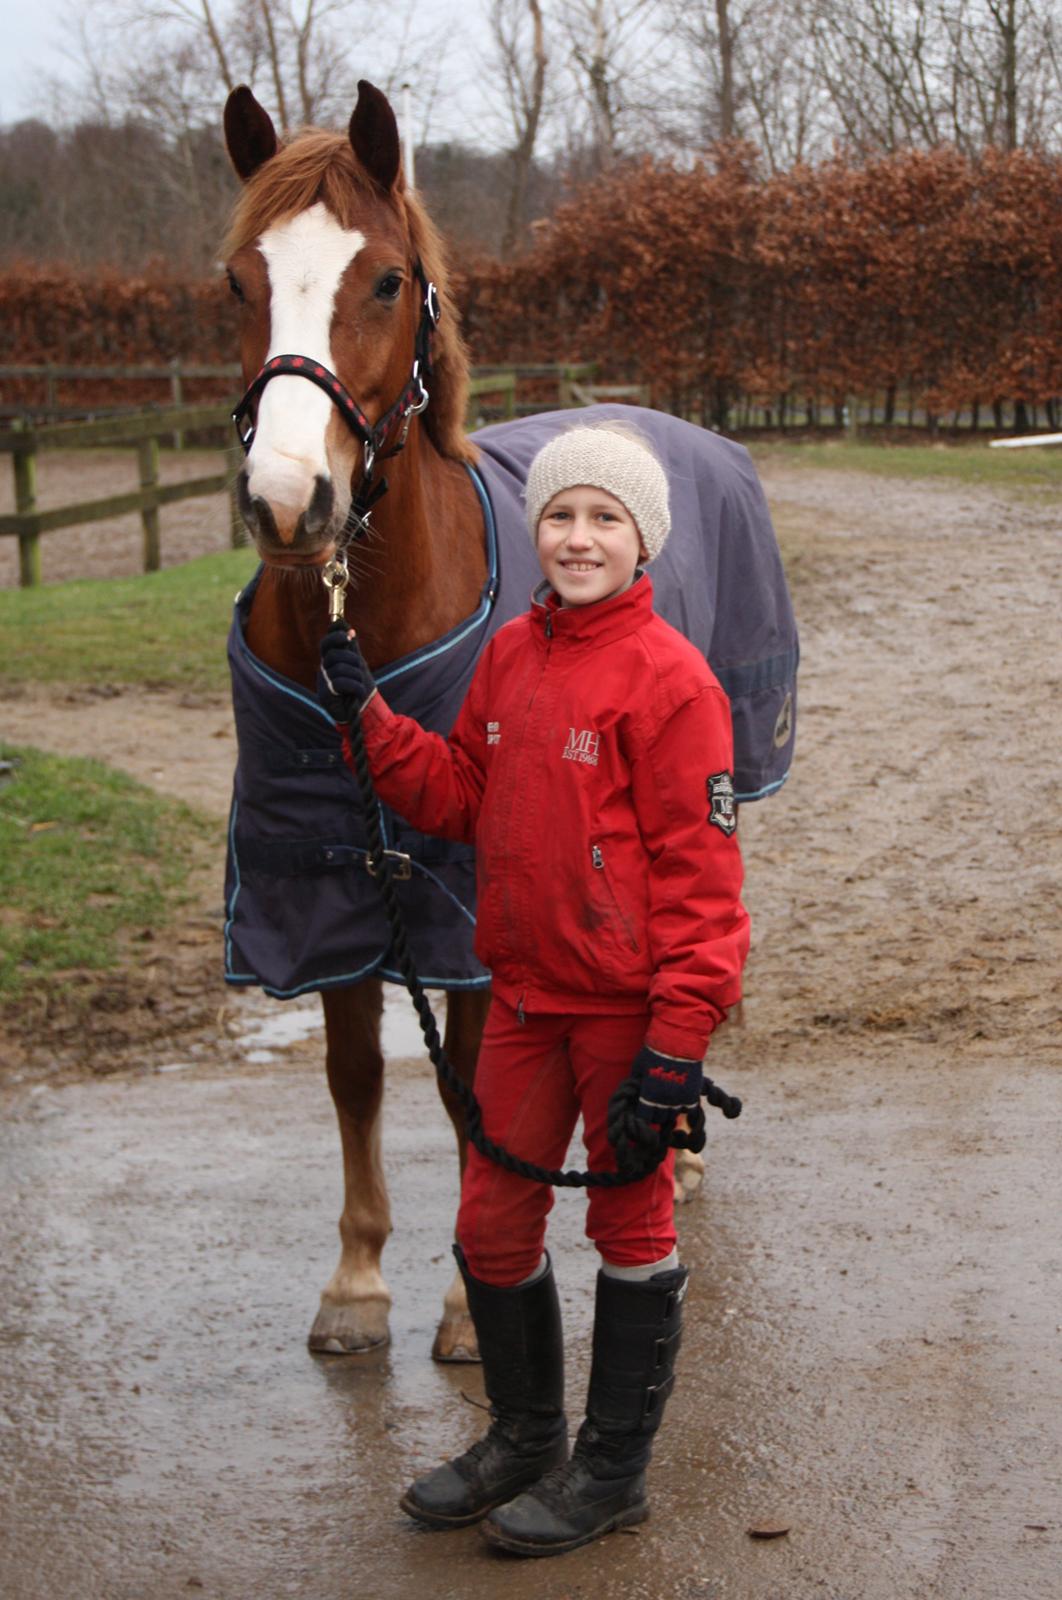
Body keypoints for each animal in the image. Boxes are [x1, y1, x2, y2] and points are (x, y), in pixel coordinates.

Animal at [217, 81, 796, 1363]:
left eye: (387, 278)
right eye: (236, 280)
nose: (288, 502)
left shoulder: (466, 906)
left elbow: (472, 1090)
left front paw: (465, 1304)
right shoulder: (330, 877)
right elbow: (354, 1074)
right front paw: (357, 1281)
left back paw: (676, 1157)